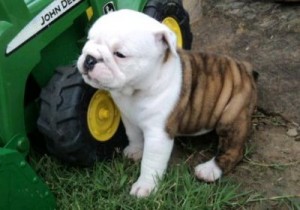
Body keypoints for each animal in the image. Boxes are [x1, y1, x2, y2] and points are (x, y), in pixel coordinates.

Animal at [77, 9, 258, 197]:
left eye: (120, 54)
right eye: (89, 40)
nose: (90, 58)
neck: (136, 91)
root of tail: (245, 69)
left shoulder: (158, 134)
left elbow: (150, 162)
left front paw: (145, 187)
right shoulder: (129, 119)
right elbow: (134, 135)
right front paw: (135, 150)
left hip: (232, 116)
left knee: (233, 150)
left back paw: (209, 170)